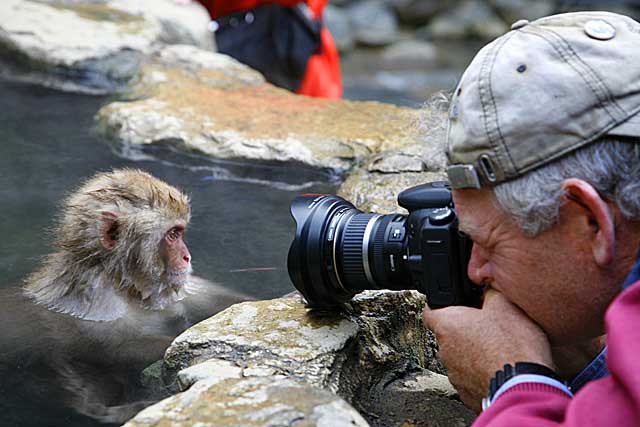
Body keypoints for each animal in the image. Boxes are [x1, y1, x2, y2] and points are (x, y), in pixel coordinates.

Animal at [0, 170, 250, 424]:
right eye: (172, 235)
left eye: (180, 232)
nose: (187, 257)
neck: (124, 284)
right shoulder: (98, 305)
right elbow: (113, 347)